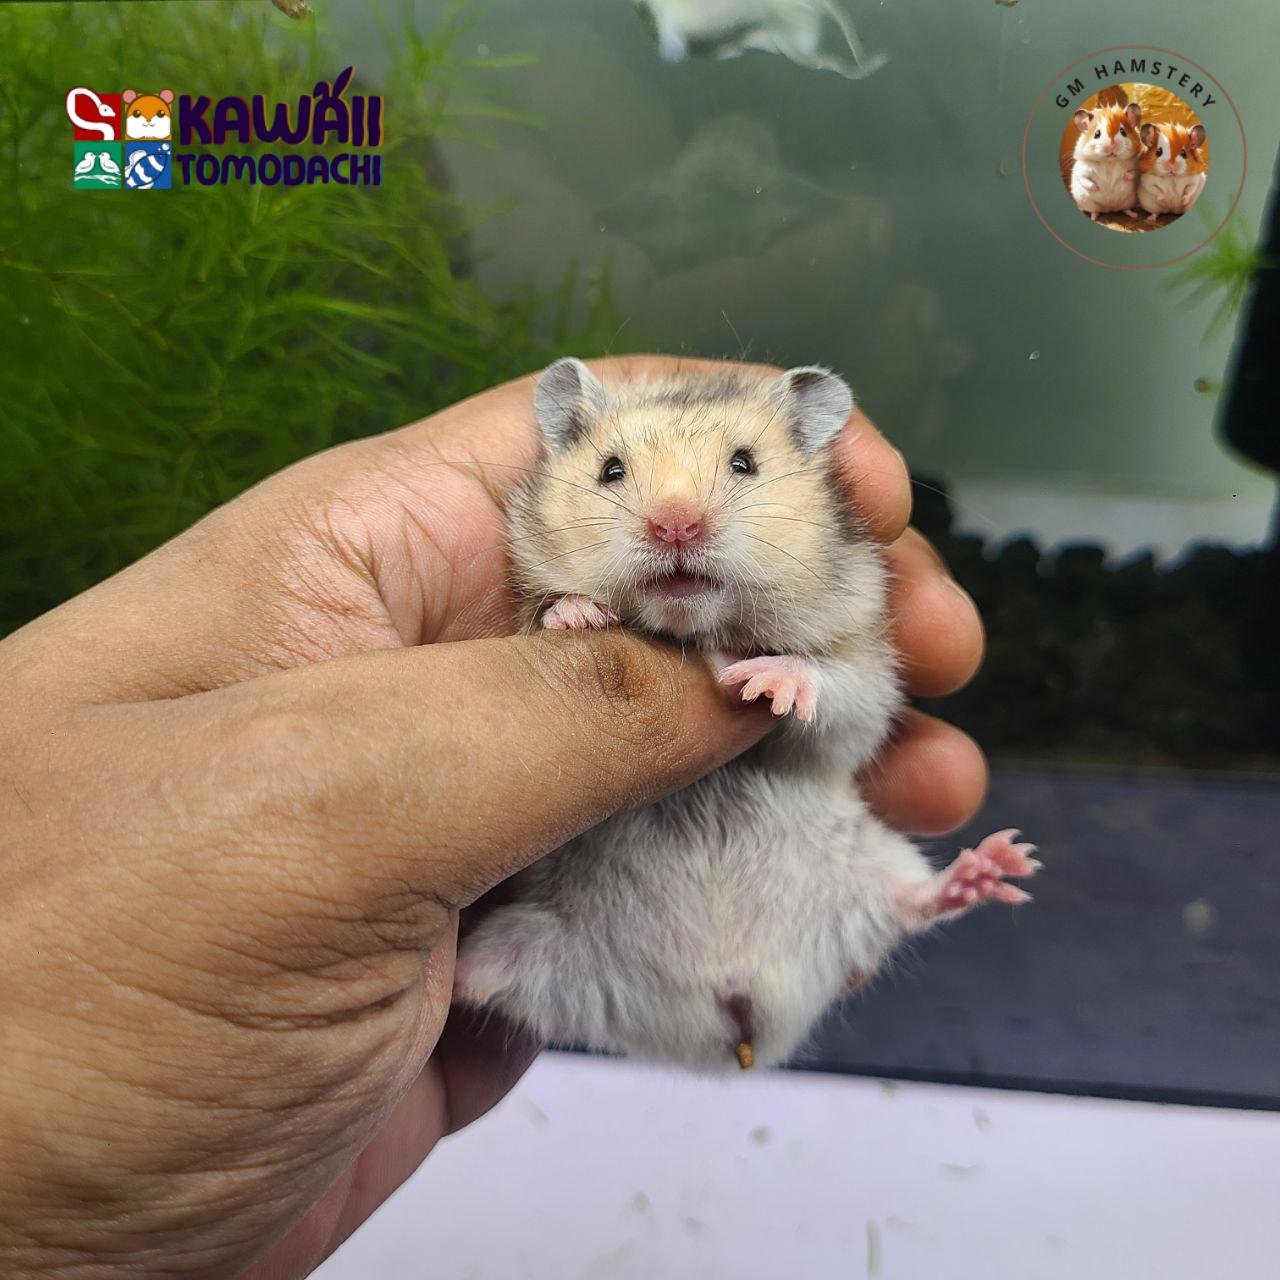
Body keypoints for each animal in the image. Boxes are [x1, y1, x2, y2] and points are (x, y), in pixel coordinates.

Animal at [453, 360, 1039, 1071]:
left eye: (744, 463)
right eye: (610, 470)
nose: (676, 526)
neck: (697, 629)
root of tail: (727, 1015)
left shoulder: (865, 667)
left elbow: (835, 689)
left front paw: (763, 681)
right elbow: (543, 612)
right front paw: (577, 614)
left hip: (868, 862)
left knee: (911, 902)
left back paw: (998, 865)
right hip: (537, 938)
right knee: (477, 980)